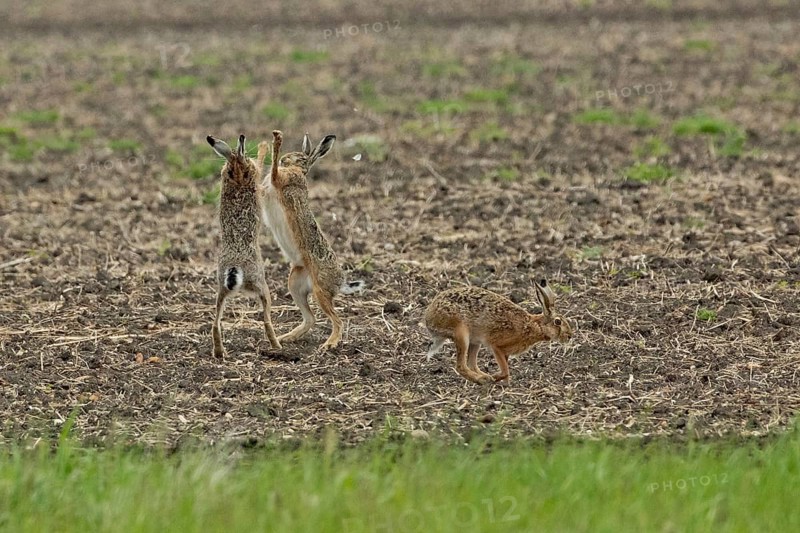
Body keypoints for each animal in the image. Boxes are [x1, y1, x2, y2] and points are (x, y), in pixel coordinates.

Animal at [207, 134, 281, 358]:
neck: (237, 172)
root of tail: (235, 268)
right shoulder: (256, 175)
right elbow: (261, 164)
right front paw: (264, 146)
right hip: (261, 285)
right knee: (266, 319)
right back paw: (277, 345)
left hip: (221, 289)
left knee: (215, 323)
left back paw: (219, 352)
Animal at [257, 130, 362, 353]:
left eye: (301, 157)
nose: (285, 159)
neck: (300, 171)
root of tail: (340, 282)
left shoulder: (281, 179)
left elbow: (274, 171)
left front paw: (276, 141)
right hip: (295, 283)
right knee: (310, 319)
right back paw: (286, 338)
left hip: (319, 290)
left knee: (337, 320)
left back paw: (329, 344)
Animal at [424, 279, 572, 384]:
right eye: (558, 322)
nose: (570, 336)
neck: (533, 325)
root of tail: (430, 317)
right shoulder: (497, 346)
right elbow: (505, 370)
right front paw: (497, 378)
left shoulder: (506, 352)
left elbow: (506, 370)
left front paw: (505, 384)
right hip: (461, 333)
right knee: (461, 366)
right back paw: (483, 380)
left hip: (475, 341)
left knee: (471, 364)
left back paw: (484, 377)